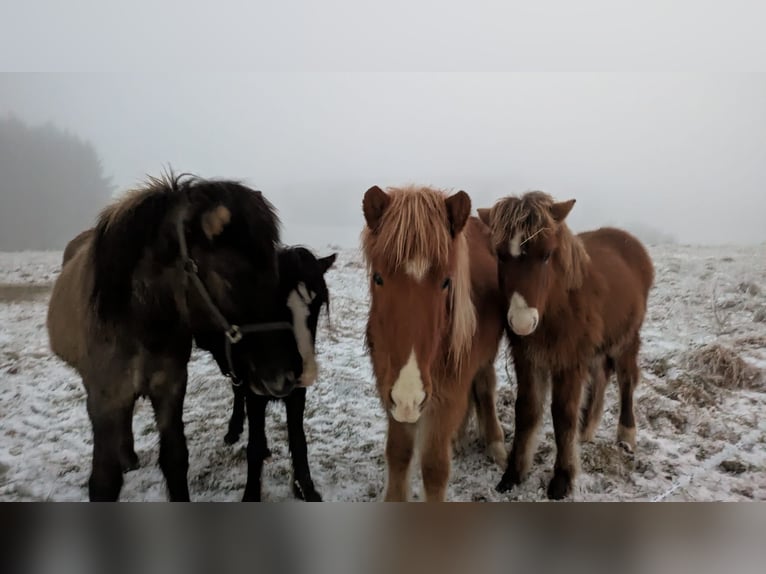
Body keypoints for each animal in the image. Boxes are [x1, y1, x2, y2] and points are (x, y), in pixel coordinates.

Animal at [47, 172, 304, 501]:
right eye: (231, 278)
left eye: (274, 271)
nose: (284, 376)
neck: (141, 322)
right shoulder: (106, 400)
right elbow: (105, 480)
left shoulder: (170, 388)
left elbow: (175, 459)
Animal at [207, 246, 336, 501]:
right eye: (268, 303)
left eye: (317, 306)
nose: (304, 372)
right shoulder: (255, 389)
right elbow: (254, 445)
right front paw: (251, 494)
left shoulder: (297, 393)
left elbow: (298, 440)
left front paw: (306, 488)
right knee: (237, 389)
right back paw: (234, 429)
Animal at [362, 185, 507, 502]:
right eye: (378, 277)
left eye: (446, 282)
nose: (409, 396)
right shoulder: (391, 396)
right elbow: (398, 455)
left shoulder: (445, 401)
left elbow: (434, 469)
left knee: (484, 386)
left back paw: (495, 443)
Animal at [478, 191, 654, 499]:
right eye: (499, 255)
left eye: (547, 255)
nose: (522, 322)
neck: (557, 304)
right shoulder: (528, 359)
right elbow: (526, 411)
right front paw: (513, 473)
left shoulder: (569, 361)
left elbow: (562, 416)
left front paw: (562, 478)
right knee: (601, 375)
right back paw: (587, 429)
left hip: (626, 338)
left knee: (626, 380)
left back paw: (625, 435)